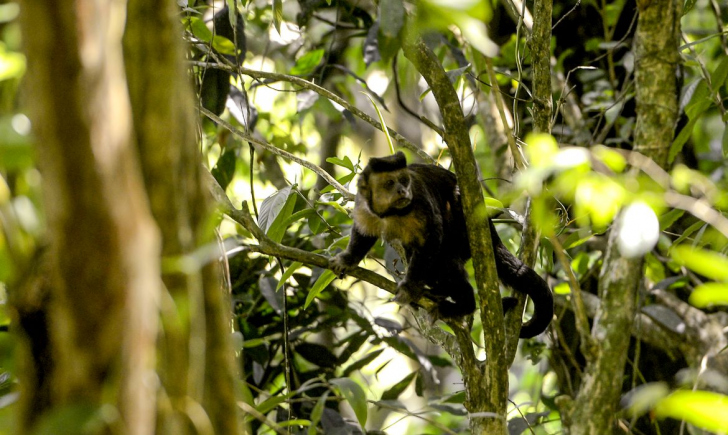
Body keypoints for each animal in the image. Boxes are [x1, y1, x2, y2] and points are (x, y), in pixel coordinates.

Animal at [328, 152, 556, 338]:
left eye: (404, 181)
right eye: (390, 182)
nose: (402, 191)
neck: (390, 212)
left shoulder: (419, 200)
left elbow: (431, 238)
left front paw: (409, 289)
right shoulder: (364, 203)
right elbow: (364, 233)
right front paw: (348, 260)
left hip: (462, 232)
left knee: (443, 260)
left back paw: (464, 305)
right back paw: (436, 292)